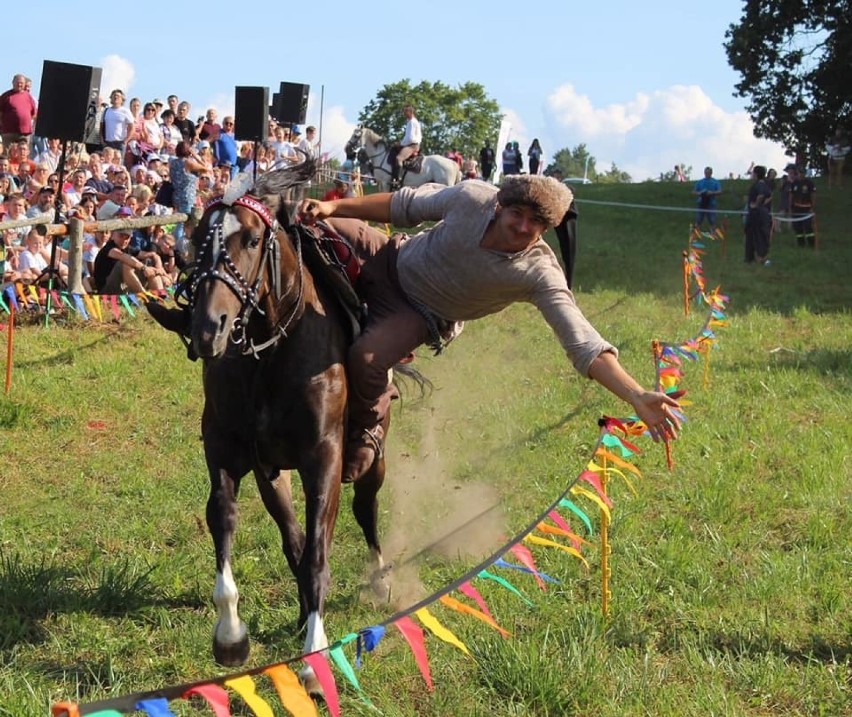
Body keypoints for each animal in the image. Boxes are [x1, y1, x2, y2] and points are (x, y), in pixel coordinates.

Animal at [183, 161, 392, 692]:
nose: (207, 329)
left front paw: (315, 656)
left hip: (371, 458)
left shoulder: (325, 458)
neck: (272, 352)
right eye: (196, 239)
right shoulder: (229, 453)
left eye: (253, 239)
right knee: (292, 535)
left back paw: (379, 578)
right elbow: (226, 519)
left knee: (366, 509)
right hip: (272, 472)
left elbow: (319, 551)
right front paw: (230, 636)